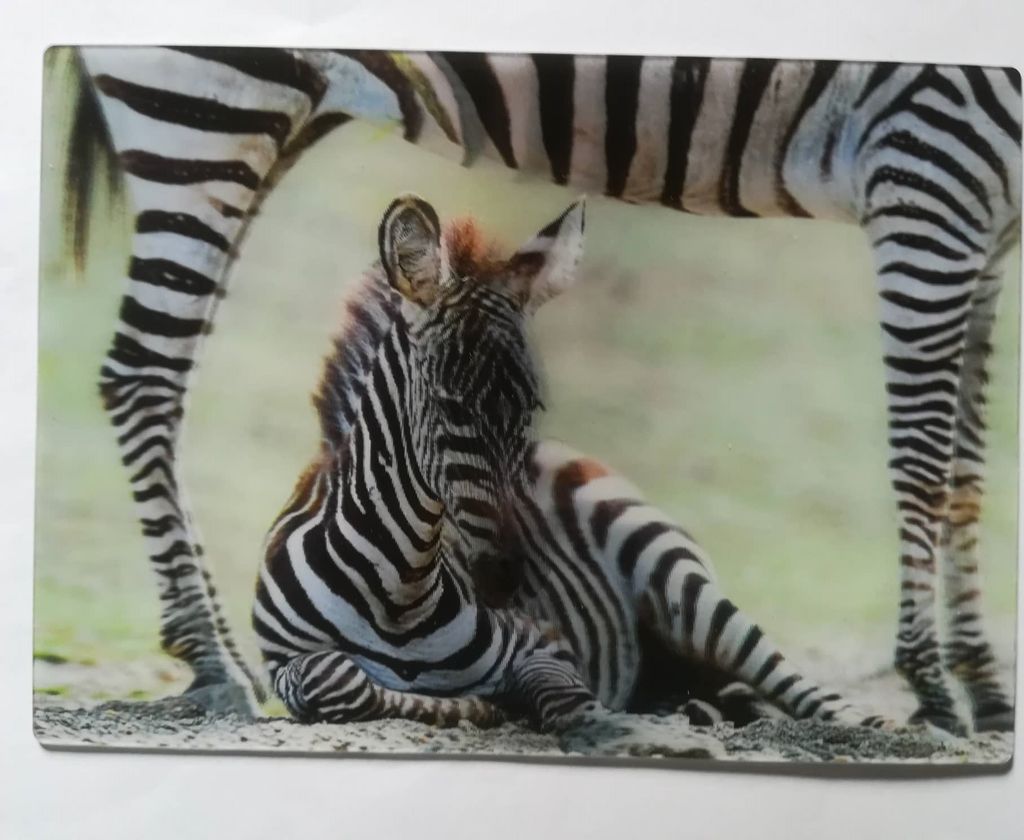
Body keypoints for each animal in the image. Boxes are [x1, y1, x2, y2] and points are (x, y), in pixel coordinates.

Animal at [257, 192, 884, 736]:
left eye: (532, 406)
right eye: (449, 404)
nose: (509, 579)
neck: (397, 591)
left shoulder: (546, 642)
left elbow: (565, 699)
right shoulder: (284, 662)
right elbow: (336, 678)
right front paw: (469, 706)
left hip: (677, 578)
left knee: (784, 676)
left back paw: (872, 725)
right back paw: (695, 709)